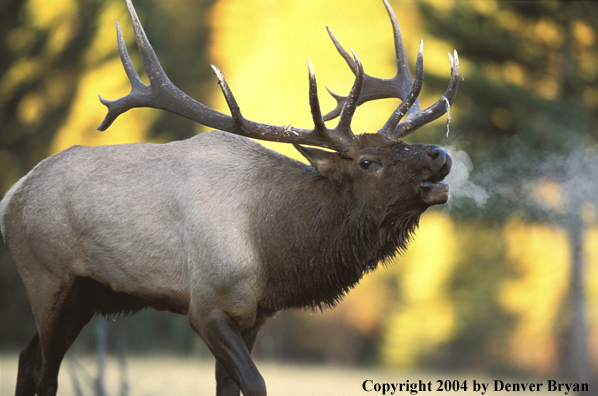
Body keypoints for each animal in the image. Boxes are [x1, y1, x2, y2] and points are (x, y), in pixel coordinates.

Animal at [0, 0, 462, 394]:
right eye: (367, 161)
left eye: (402, 145)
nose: (439, 154)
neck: (274, 249)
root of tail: (11, 196)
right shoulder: (206, 306)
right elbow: (254, 383)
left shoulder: (254, 315)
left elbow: (230, 386)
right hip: (47, 278)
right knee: (47, 371)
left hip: (86, 295)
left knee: (27, 359)